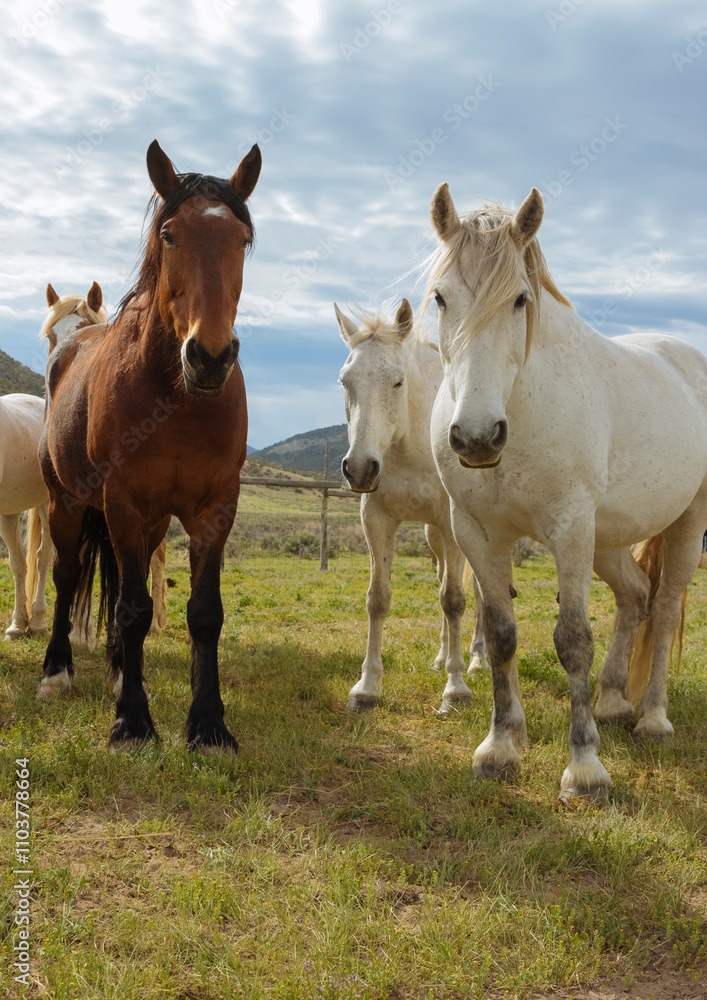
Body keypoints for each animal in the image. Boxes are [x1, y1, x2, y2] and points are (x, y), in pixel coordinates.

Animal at [336, 298, 488, 714]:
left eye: (397, 381)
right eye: (345, 381)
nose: (359, 468)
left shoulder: (453, 526)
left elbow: (454, 600)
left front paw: (456, 690)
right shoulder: (377, 520)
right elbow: (378, 599)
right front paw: (366, 688)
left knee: (480, 593)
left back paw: (477, 660)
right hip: (433, 536)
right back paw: (442, 657)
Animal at [427, 183, 707, 801]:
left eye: (519, 300)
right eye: (439, 298)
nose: (477, 437)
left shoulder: (570, 527)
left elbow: (573, 639)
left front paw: (584, 768)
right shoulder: (476, 531)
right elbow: (500, 635)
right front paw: (501, 747)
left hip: (684, 523)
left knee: (666, 607)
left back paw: (653, 718)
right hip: (610, 540)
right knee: (636, 598)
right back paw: (612, 702)